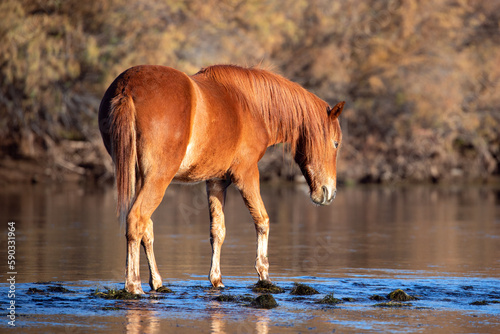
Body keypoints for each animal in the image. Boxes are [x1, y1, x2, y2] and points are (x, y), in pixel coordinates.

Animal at [99, 64, 346, 294]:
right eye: (335, 143)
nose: (329, 192)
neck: (252, 106)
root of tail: (127, 87)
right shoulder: (246, 174)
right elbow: (262, 220)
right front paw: (264, 275)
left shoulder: (216, 181)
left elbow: (217, 231)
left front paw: (216, 279)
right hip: (158, 178)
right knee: (137, 220)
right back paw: (133, 285)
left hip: (141, 178)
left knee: (146, 227)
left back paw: (156, 282)